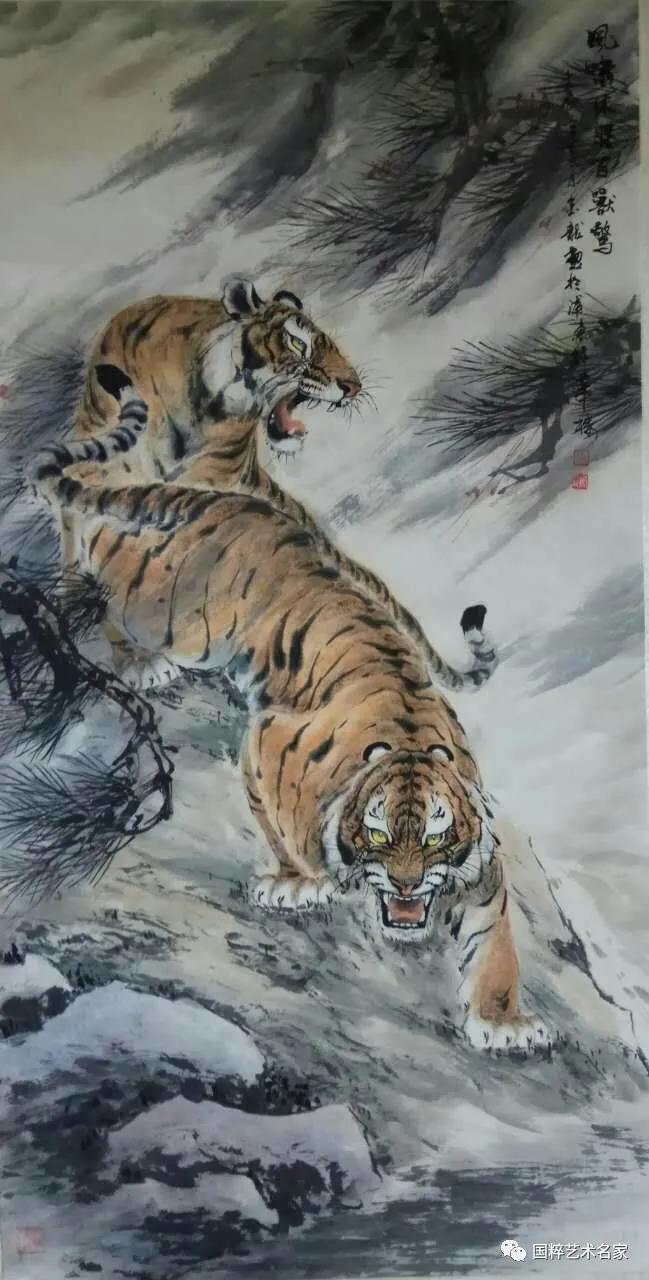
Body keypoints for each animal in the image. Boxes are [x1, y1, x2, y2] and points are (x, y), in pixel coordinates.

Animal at [32, 391, 549, 1055]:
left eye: (436, 840)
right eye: (379, 835)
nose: (407, 890)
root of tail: (242, 505)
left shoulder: (484, 880)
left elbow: (497, 950)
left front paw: (504, 1022)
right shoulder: (270, 737)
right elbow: (289, 825)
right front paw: (302, 882)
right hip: (172, 611)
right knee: (102, 561)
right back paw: (132, 650)